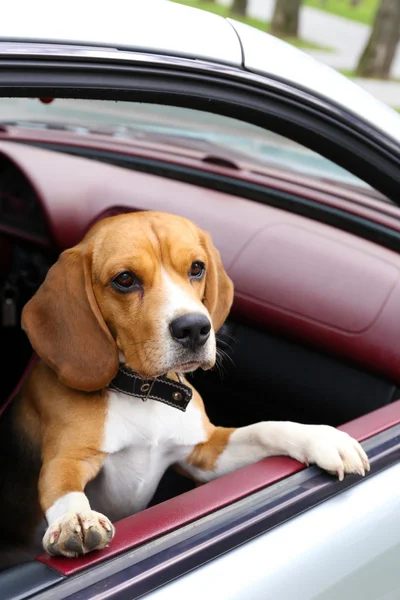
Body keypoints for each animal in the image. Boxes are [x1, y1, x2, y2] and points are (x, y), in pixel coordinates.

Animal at [0, 211, 368, 564]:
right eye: (124, 279)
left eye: (196, 268)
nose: (194, 328)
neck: (143, 392)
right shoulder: (67, 459)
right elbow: (63, 487)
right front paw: (75, 519)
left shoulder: (205, 453)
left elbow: (265, 428)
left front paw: (323, 438)